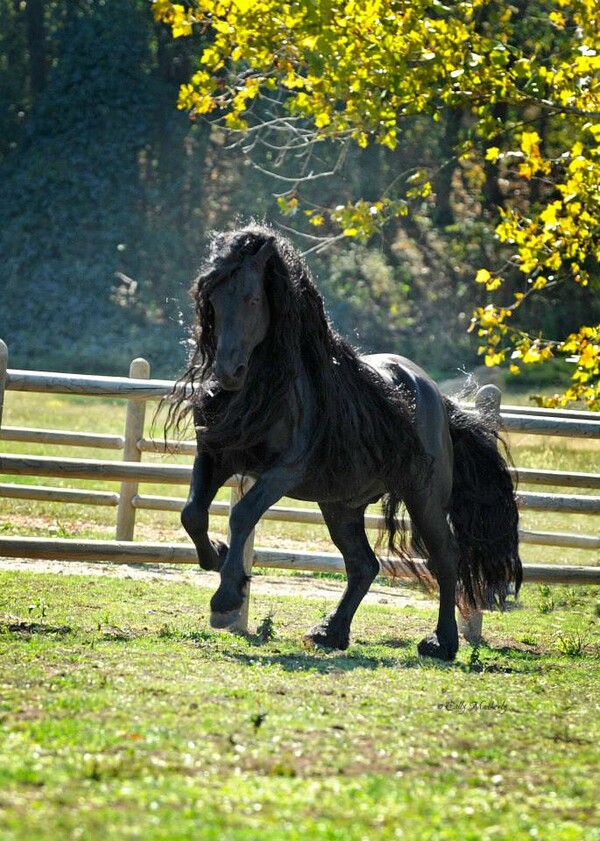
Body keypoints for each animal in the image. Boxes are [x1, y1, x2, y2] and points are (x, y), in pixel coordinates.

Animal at [168, 226, 520, 660]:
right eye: (212, 299)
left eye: (252, 298)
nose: (227, 372)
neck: (268, 389)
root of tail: (436, 395)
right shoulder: (215, 456)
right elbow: (192, 514)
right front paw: (216, 557)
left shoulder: (283, 471)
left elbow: (242, 515)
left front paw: (227, 598)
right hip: (340, 504)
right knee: (363, 565)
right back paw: (330, 632)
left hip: (423, 497)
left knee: (445, 557)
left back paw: (441, 643)